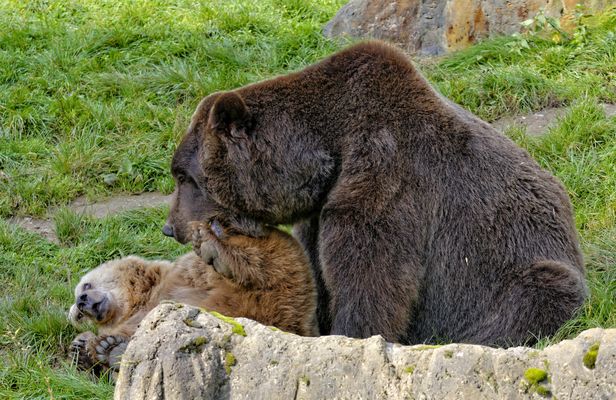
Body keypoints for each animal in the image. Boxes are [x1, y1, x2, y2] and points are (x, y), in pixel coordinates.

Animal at [72, 219, 318, 372]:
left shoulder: (185, 274)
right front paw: (85, 346)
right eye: (77, 317)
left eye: (85, 285)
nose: (81, 303)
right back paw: (112, 349)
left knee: (270, 255)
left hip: (292, 275)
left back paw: (216, 250)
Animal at [164, 41, 588, 346]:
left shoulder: (387, 173)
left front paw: (353, 334)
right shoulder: (320, 208)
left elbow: (371, 270)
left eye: (185, 177)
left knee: (535, 296)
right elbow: (316, 269)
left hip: (520, 267)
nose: (171, 227)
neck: (328, 150)